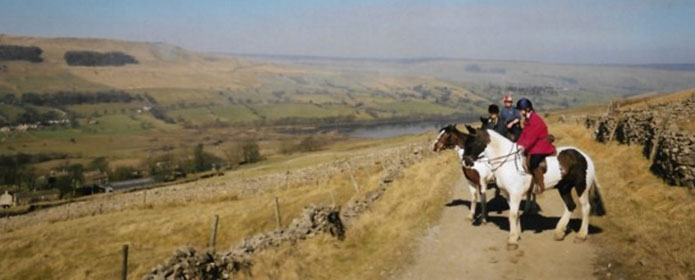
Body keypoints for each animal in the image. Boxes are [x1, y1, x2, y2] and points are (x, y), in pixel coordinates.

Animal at [432, 124, 608, 249]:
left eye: (472, 142)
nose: (467, 162)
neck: (506, 160)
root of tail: (584, 156)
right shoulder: (508, 194)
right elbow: (514, 214)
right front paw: (515, 235)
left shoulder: (511, 192)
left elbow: (509, 213)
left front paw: (511, 240)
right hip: (563, 187)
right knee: (570, 206)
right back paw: (559, 231)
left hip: (581, 187)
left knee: (585, 208)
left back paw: (581, 235)